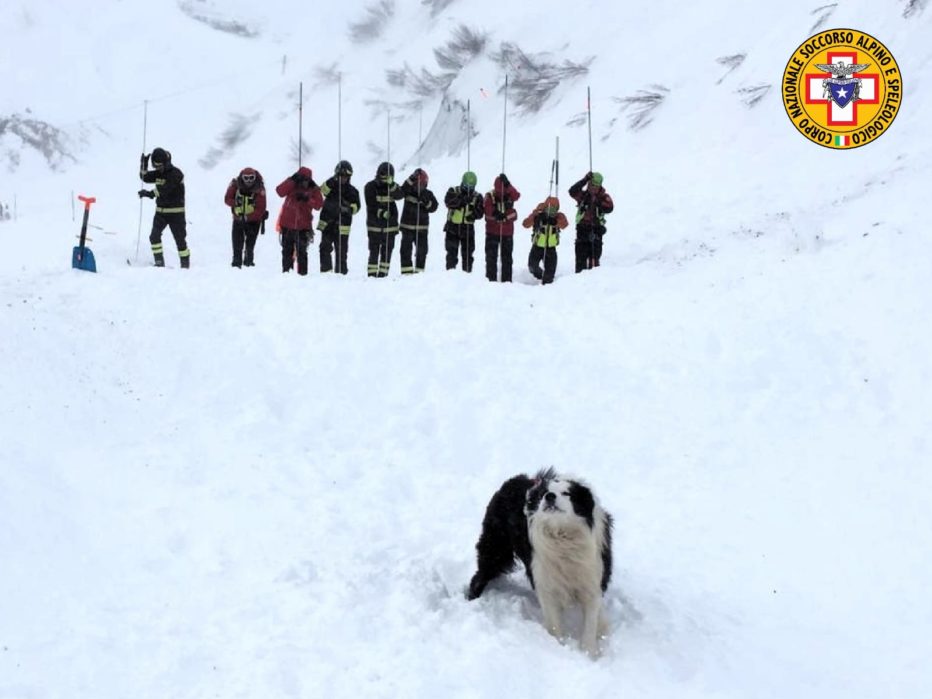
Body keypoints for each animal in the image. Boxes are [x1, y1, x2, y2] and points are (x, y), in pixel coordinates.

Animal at [466, 470, 612, 656]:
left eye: (567, 493)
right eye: (545, 493)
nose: (549, 496)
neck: (563, 536)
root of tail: (515, 479)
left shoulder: (592, 581)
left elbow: (590, 625)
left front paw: (589, 653)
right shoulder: (546, 583)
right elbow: (554, 625)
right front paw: (560, 646)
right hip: (496, 548)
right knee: (479, 576)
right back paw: (472, 599)